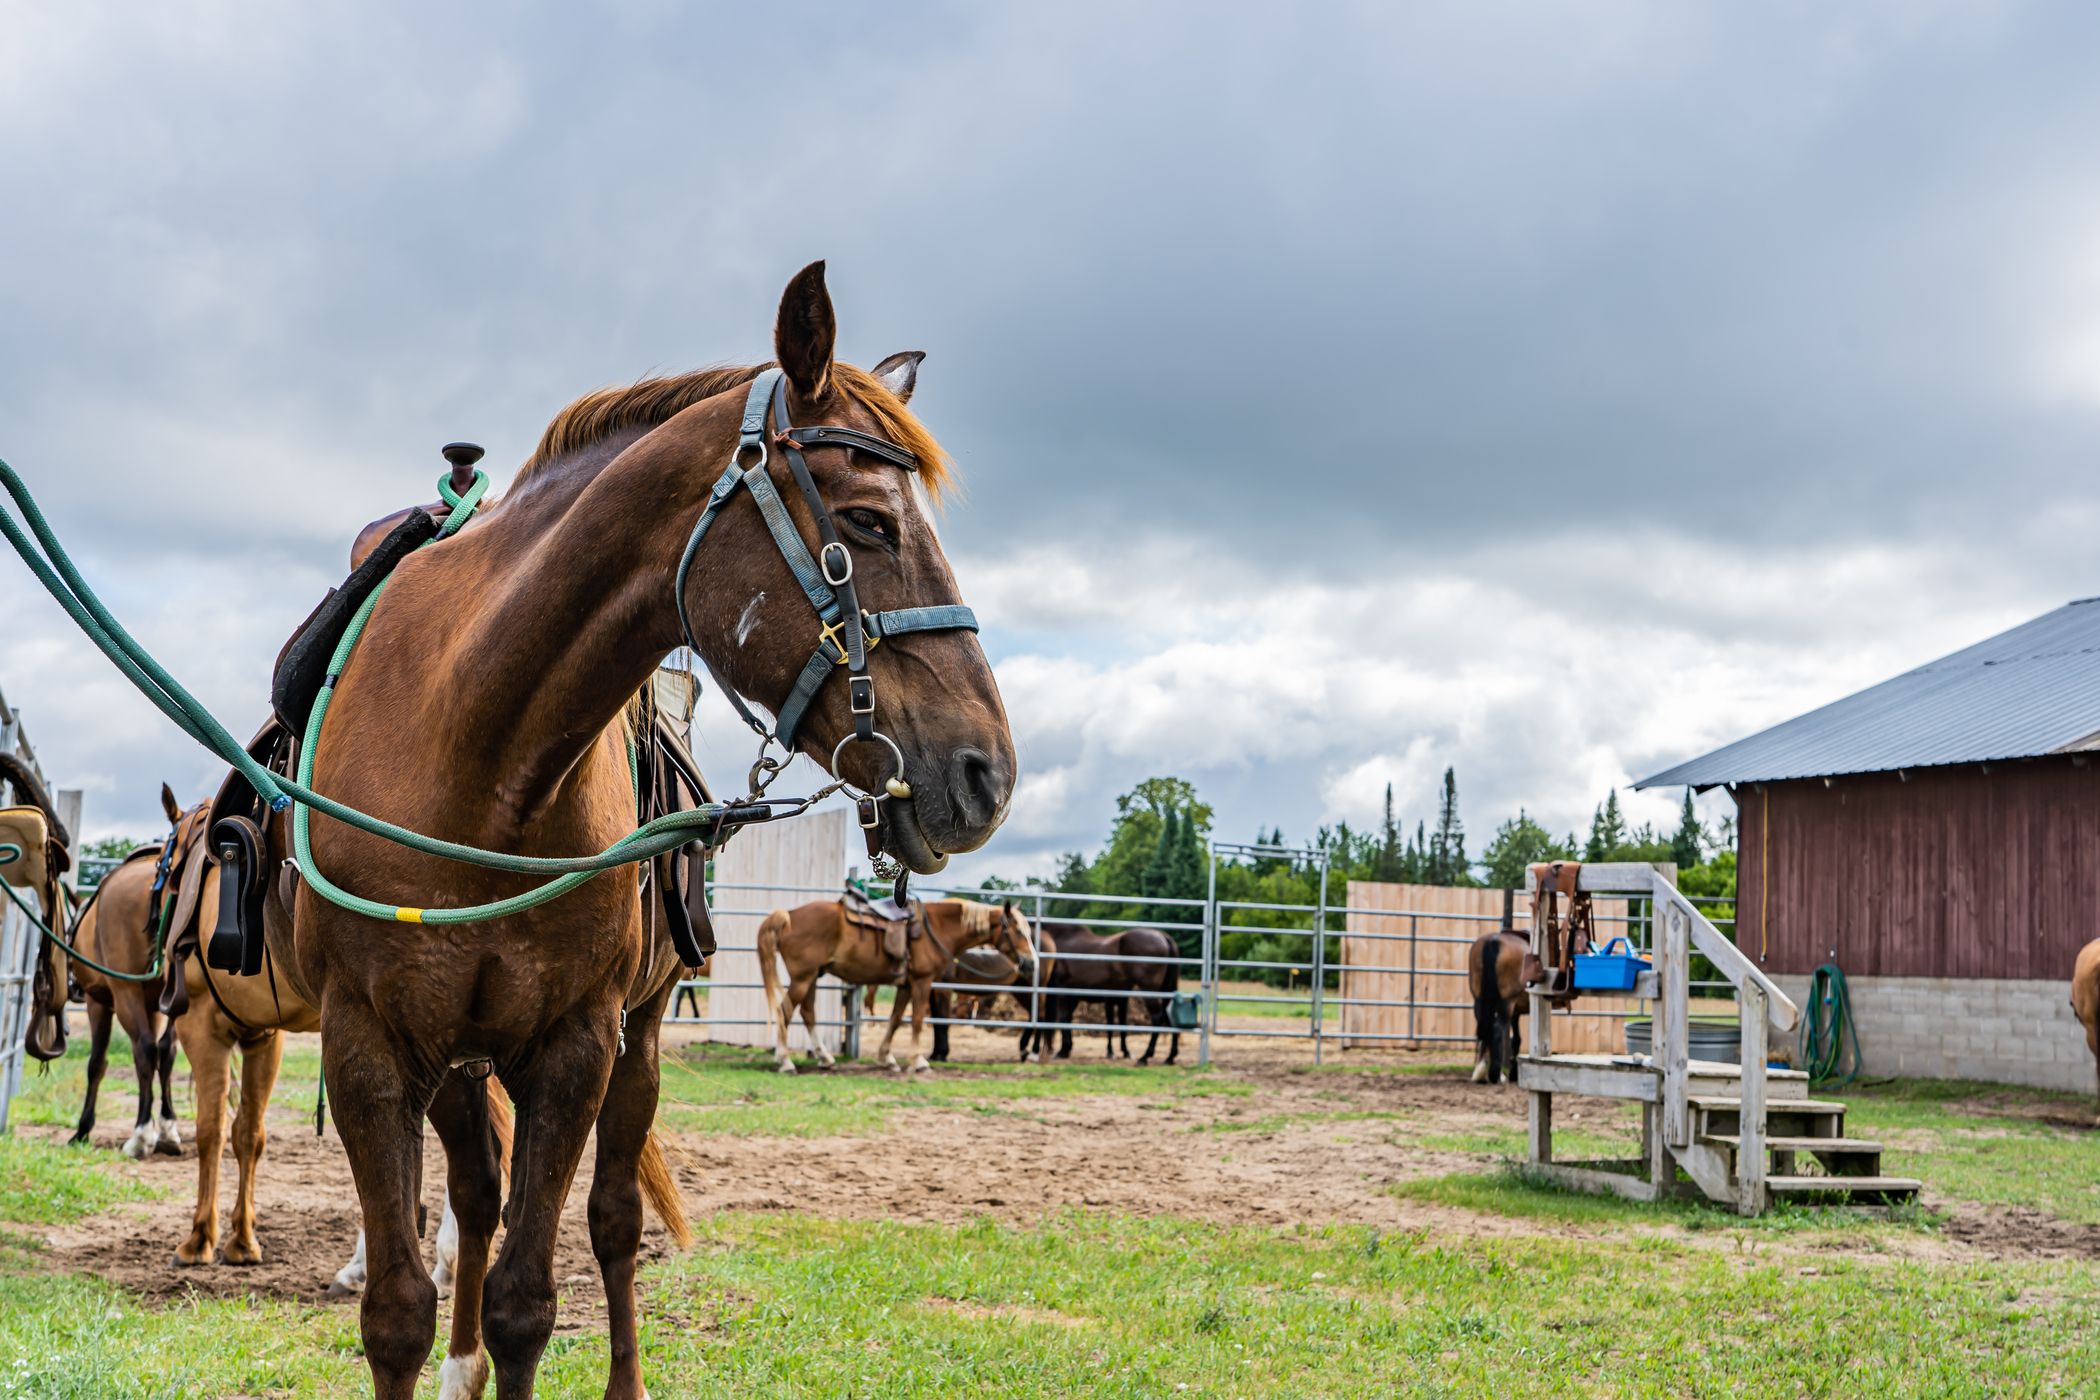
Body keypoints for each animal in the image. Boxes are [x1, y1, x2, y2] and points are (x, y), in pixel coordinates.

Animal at [61, 783, 201, 1158]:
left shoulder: (100, 1001)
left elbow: (97, 1063)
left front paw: (83, 1128)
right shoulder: (157, 1002)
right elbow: (164, 1053)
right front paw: (164, 1126)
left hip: (123, 996)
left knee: (144, 1049)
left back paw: (141, 1135)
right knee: (164, 1051)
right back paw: (165, 1130)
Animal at [759, 898, 1036, 1073]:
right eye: (1018, 931)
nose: (1031, 963)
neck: (936, 928)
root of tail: (789, 915)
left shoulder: (906, 985)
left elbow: (895, 1018)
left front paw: (887, 1058)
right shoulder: (923, 982)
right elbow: (917, 1021)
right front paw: (918, 1062)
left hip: (812, 977)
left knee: (808, 1013)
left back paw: (824, 1058)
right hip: (803, 978)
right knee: (785, 1011)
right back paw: (785, 1061)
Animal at [1026, 924, 1185, 1066]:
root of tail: (1163, 937)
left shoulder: (1062, 992)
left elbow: (1063, 1019)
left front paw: (1063, 1050)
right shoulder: (1077, 996)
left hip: (1149, 991)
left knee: (1157, 1017)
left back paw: (1145, 1057)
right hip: (1166, 991)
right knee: (1170, 1018)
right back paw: (1170, 1057)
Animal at [1468, 930, 1528, 1085]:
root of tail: (1493, 941)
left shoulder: (1516, 1012)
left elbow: (1517, 1038)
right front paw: (1512, 1073)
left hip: (1480, 1000)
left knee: (1486, 1028)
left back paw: (1480, 1071)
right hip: (1507, 1002)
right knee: (1499, 1028)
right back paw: (1499, 1073)